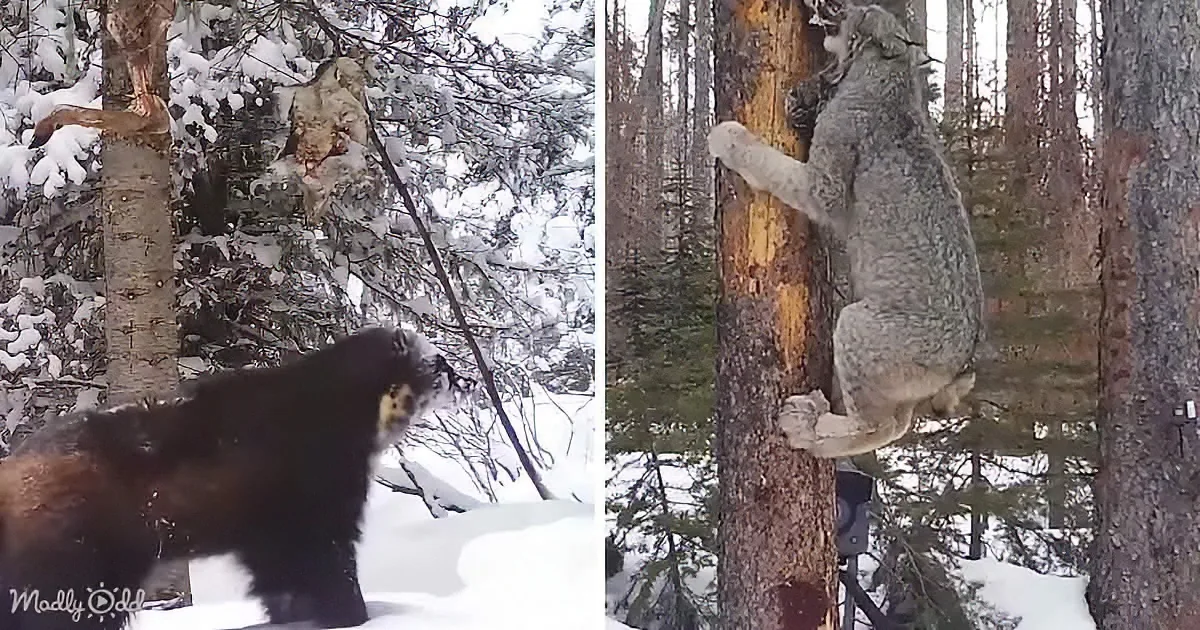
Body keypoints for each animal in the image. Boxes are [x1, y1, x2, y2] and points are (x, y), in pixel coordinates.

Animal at [0, 325, 472, 630]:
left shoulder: (266, 534)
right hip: (79, 567)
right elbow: (330, 567)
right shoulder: (320, 504)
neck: (340, 408)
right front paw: (351, 615)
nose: (465, 381)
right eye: (440, 364)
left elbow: (280, 582)